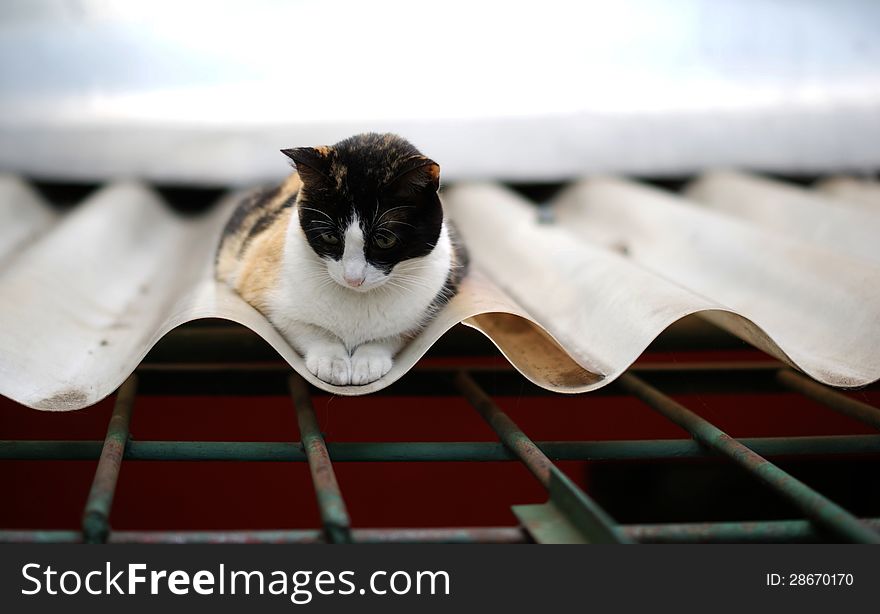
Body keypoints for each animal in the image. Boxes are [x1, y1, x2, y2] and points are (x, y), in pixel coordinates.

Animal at [215, 134, 468, 384]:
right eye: (330, 236)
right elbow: (305, 327)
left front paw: (368, 361)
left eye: (385, 240)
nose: (353, 279)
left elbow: (394, 334)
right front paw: (332, 361)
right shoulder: (262, 287)